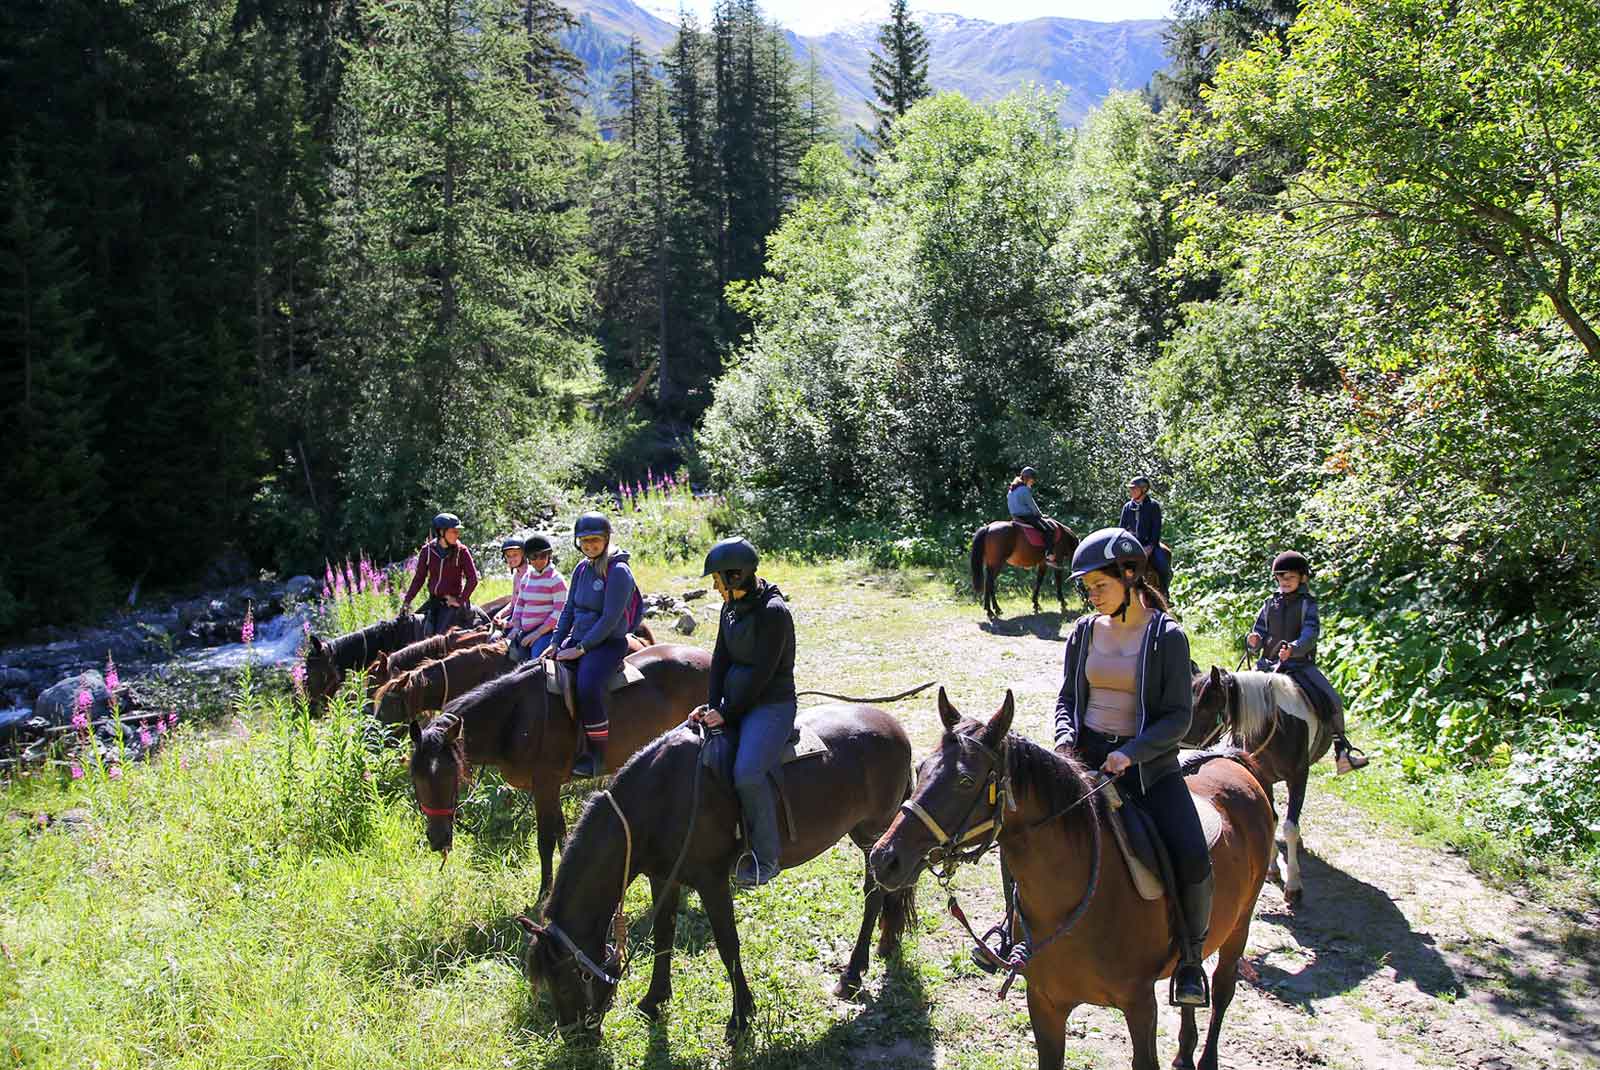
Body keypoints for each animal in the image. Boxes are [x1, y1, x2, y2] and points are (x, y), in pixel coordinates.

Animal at [406, 642, 713, 902]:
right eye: (416, 778)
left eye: (450, 774)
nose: (437, 839)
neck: (515, 716)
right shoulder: (549, 786)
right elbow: (561, 831)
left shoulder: (545, 783)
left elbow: (545, 839)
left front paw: (544, 893)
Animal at [512, 700, 915, 1042]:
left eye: (565, 982)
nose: (573, 1038)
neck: (659, 798)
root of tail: (897, 730)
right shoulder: (663, 876)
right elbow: (663, 935)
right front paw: (654, 999)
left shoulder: (712, 881)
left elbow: (727, 943)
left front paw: (740, 1015)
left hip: (874, 837)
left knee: (874, 896)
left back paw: (852, 973)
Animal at [870, 687, 1267, 1068]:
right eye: (920, 767)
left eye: (966, 781)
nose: (884, 858)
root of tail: (1230, 760)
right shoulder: (1045, 1003)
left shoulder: (1140, 1006)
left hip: (1239, 926)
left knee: (1222, 989)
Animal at [1190, 668, 1337, 902]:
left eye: (1204, 709)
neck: (1277, 728)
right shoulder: (1264, 777)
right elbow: (1273, 818)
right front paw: (1273, 868)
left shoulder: (1298, 777)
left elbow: (1290, 827)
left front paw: (1293, 885)